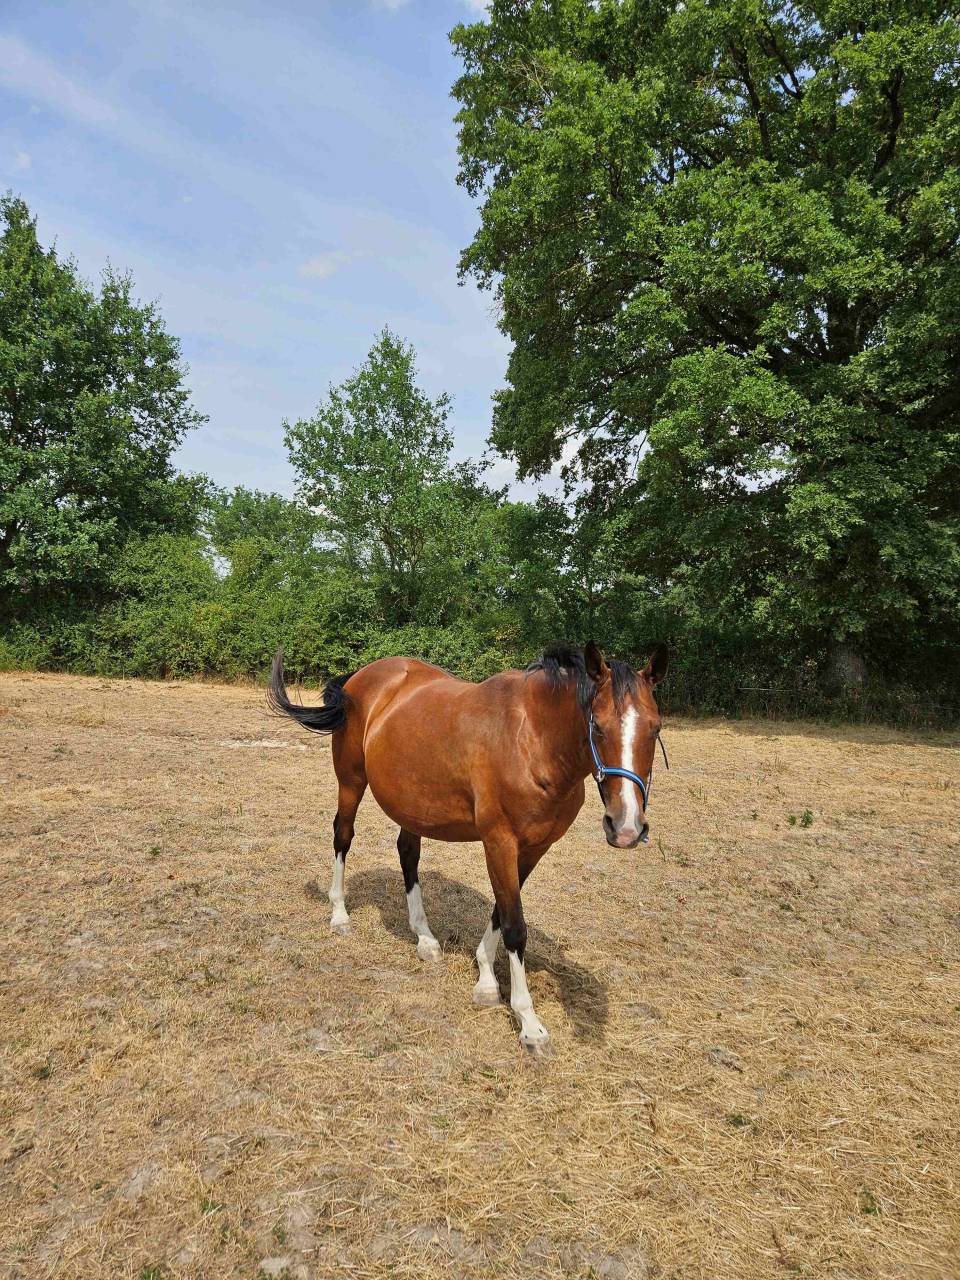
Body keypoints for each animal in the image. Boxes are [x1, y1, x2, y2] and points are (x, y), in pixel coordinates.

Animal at [268, 640, 668, 1056]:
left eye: (655, 728)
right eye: (598, 727)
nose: (626, 827)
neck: (533, 740)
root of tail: (362, 677)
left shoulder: (532, 849)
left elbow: (501, 912)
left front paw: (486, 979)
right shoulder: (499, 842)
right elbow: (515, 926)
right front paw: (529, 1023)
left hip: (412, 801)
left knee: (407, 853)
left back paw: (425, 938)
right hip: (350, 782)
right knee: (342, 836)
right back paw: (340, 915)